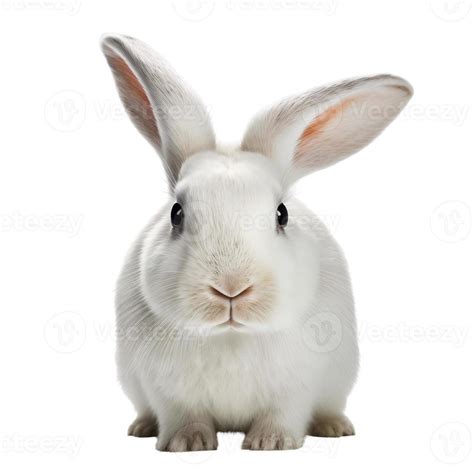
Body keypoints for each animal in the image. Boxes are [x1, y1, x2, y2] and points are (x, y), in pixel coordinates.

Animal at [102, 34, 412, 452]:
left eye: (281, 214)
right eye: (176, 214)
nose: (231, 288)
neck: (232, 337)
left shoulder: (297, 386)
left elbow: (283, 414)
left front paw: (271, 443)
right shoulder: (167, 391)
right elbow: (183, 416)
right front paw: (187, 443)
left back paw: (335, 427)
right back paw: (142, 427)